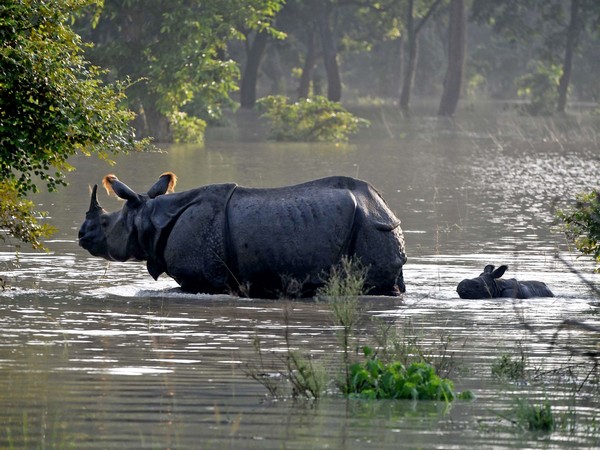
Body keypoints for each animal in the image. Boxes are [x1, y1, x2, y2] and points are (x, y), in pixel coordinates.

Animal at [78, 173, 408, 298]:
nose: (81, 235)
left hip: (370, 228)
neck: (149, 218)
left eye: (104, 223)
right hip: (371, 225)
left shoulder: (203, 281)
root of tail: (384, 206)